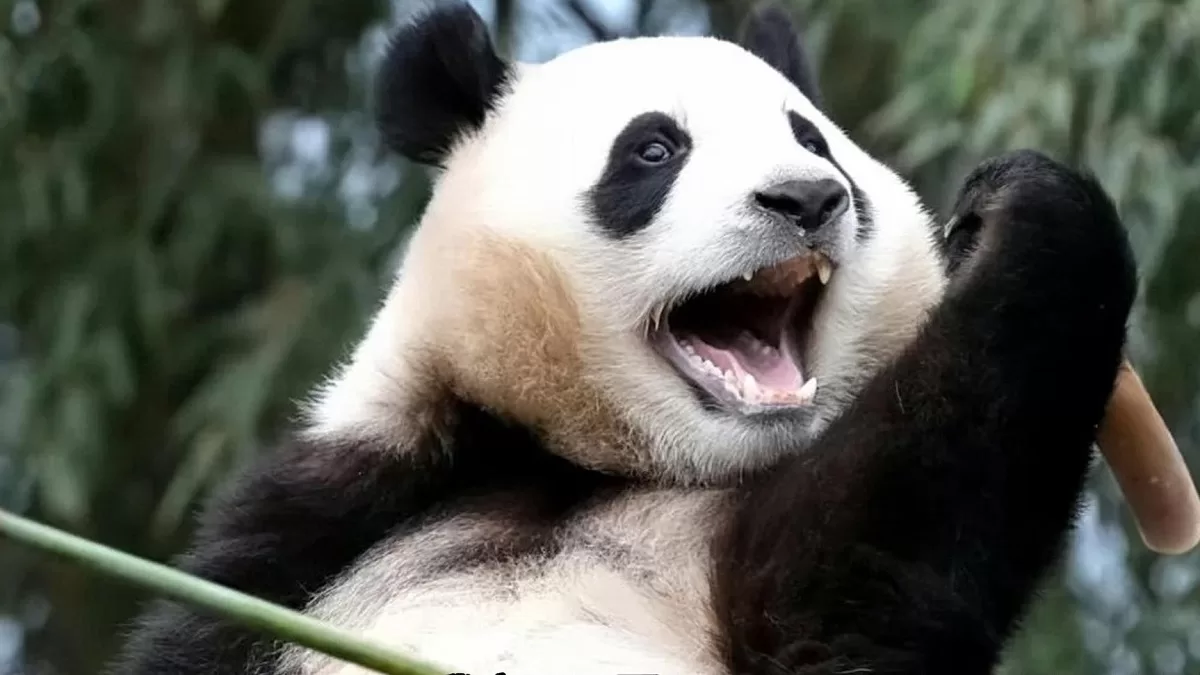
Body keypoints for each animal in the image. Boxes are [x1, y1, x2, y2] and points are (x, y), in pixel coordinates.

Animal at [115, 2, 1137, 674]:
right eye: (653, 150)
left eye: (813, 139)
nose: (807, 197)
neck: (592, 467)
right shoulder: (331, 516)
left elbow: (862, 586)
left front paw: (1026, 214)